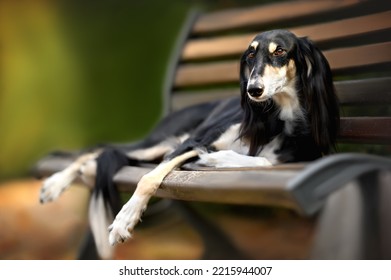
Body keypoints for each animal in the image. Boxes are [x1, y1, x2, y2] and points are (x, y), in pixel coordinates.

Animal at [39, 29, 340, 260]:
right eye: (251, 55)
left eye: (280, 52)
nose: (253, 90)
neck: (276, 117)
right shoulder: (193, 141)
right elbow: (148, 179)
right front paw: (125, 220)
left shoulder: (301, 155)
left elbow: (265, 160)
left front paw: (216, 160)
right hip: (162, 141)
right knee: (98, 150)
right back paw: (54, 184)